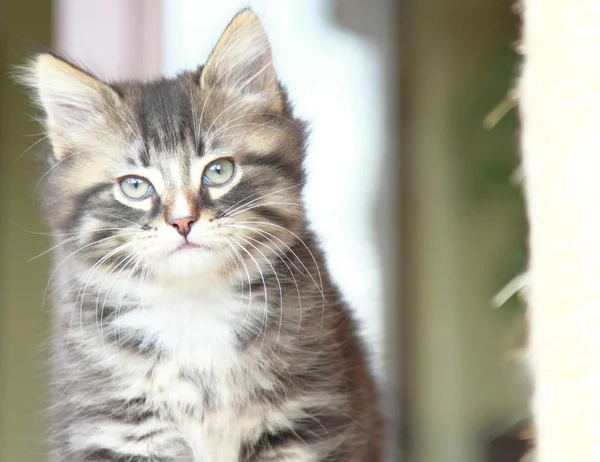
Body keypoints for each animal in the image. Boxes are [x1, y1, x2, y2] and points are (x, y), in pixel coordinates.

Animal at [25, 8, 382, 462]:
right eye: (135, 186)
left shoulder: (306, 417)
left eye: (219, 171)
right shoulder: (115, 426)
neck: (193, 308)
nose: (182, 222)